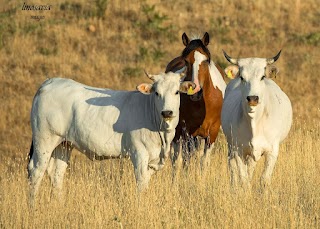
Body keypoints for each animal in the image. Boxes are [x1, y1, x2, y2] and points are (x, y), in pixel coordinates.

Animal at [27, 72, 195, 204]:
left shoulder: (153, 161)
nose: (167, 112)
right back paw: (32, 207)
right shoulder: (139, 153)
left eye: (177, 92)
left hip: (64, 145)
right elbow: (141, 184)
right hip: (44, 140)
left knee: (56, 174)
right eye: (157, 93)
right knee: (36, 171)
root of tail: (50, 82)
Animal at [166, 32, 226, 174]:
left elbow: (204, 162)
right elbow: (182, 161)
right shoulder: (184, 131)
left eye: (206, 60)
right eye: (186, 61)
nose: (195, 90)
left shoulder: (212, 132)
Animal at [220, 51, 292, 189]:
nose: (252, 98)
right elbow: (244, 179)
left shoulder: (272, 151)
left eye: (262, 77)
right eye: (242, 77)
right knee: (232, 167)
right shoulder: (238, 150)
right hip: (231, 146)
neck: (255, 123)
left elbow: (264, 179)